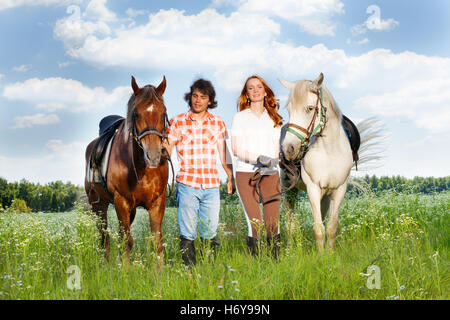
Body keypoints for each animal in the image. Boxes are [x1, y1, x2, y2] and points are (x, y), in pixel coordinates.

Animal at [84, 76, 169, 266]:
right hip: (98, 205)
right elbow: (126, 241)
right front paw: (125, 270)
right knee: (105, 237)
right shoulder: (121, 201)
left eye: (163, 113)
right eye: (136, 114)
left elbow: (156, 242)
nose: (153, 155)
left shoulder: (157, 202)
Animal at [280, 72, 382, 250]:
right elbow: (318, 229)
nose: (288, 149)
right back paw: (290, 249)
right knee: (290, 222)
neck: (330, 151)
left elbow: (331, 227)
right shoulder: (313, 189)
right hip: (289, 190)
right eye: (289, 109)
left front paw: (329, 253)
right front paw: (321, 255)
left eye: (310, 108)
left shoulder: (338, 190)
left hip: (325, 196)